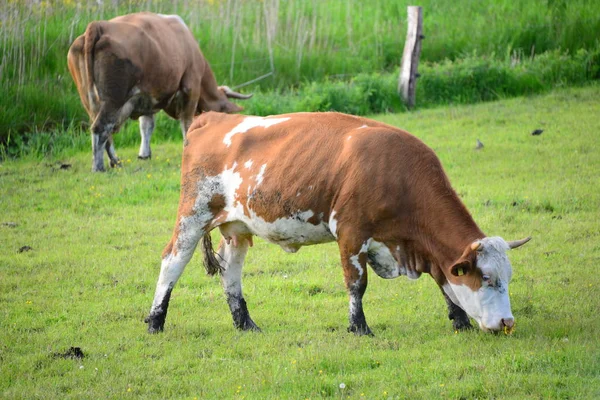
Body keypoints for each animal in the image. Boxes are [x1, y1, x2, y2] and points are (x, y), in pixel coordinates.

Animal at [67, 12, 251, 172]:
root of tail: (99, 25)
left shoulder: (147, 97)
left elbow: (146, 125)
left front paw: (144, 154)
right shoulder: (191, 87)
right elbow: (187, 123)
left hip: (89, 100)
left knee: (104, 131)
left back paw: (115, 161)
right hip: (113, 100)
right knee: (101, 128)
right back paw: (99, 167)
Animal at [145, 111, 528, 336]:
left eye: (507, 277)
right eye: (487, 278)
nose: (507, 322)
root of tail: (211, 118)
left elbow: (443, 280)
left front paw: (459, 319)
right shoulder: (351, 233)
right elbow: (357, 285)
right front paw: (359, 327)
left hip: (237, 229)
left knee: (231, 272)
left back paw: (245, 323)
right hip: (193, 215)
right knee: (172, 262)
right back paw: (155, 320)